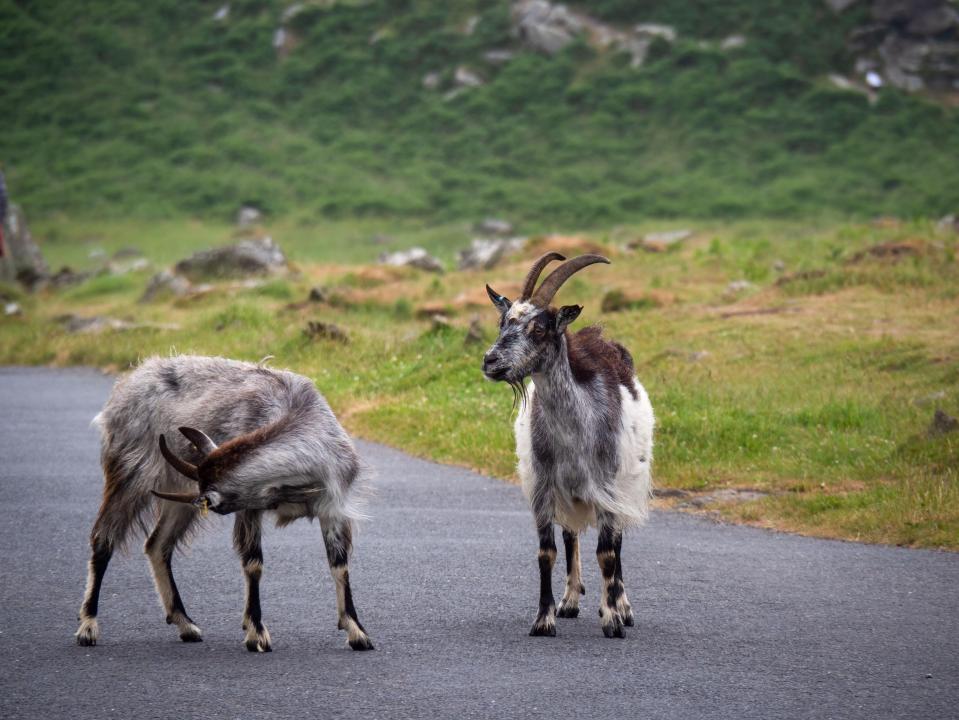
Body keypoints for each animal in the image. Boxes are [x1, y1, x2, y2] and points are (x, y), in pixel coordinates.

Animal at [74, 354, 376, 652]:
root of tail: (132, 379)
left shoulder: (333, 508)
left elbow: (339, 564)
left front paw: (357, 632)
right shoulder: (249, 509)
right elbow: (253, 563)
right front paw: (256, 633)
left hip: (178, 498)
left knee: (157, 545)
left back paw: (185, 624)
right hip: (131, 471)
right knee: (104, 537)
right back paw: (88, 626)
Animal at [484, 256, 656, 640]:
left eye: (539, 329)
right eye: (503, 322)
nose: (490, 361)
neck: (574, 432)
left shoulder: (607, 488)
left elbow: (607, 553)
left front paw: (613, 620)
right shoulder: (544, 486)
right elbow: (547, 552)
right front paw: (544, 619)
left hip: (625, 483)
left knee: (616, 543)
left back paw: (621, 605)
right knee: (571, 536)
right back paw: (571, 600)